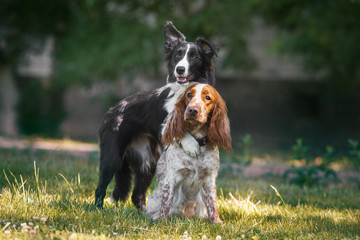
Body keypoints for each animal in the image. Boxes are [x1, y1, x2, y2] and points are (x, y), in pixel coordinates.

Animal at [95, 21, 218, 209]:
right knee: (100, 187)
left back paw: (143, 211)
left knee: (137, 194)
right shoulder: (164, 125)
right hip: (112, 157)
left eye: (195, 57)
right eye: (177, 55)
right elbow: (180, 133)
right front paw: (191, 145)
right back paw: (97, 209)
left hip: (148, 161)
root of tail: (113, 110)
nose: (179, 69)